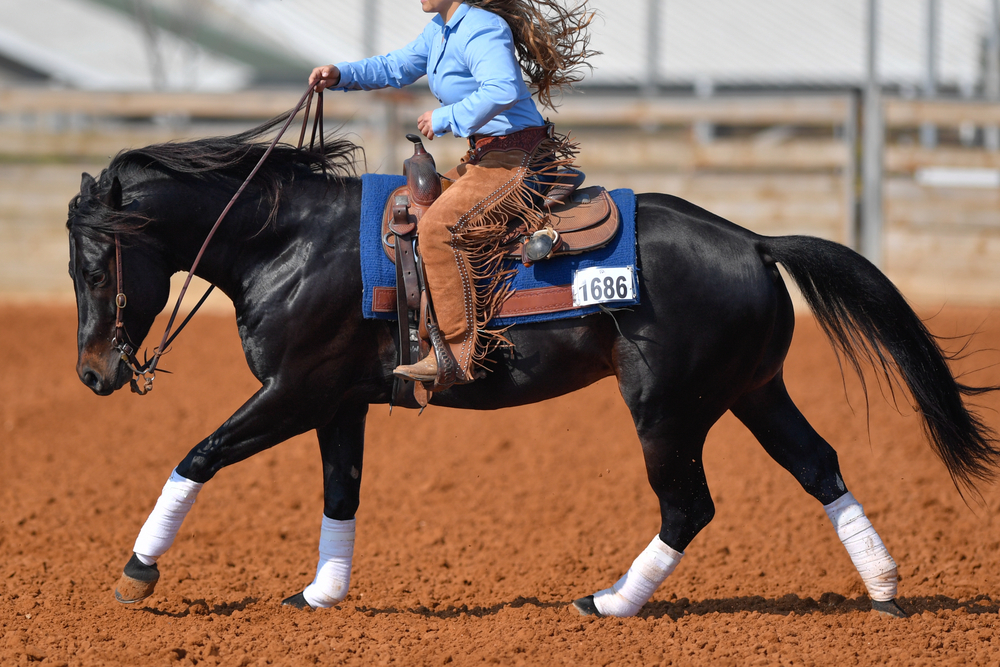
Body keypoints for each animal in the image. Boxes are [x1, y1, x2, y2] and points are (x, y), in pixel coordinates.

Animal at [66, 116, 996, 620]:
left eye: (96, 266)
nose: (93, 374)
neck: (292, 242)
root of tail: (753, 240)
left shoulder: (291, 391)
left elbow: (197, 456)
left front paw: (137, 572)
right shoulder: (337, 403)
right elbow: (341, 492)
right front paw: (322, 594)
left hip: (665, 407)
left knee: (688, 505)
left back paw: (612, 601)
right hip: (752, 391)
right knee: (819, 466)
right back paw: (883, 587)